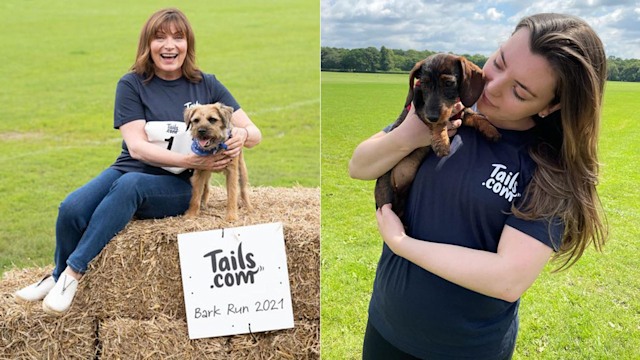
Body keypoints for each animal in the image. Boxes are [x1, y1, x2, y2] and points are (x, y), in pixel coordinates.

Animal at [372, 52, 502, 217]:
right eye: (424, 83)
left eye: (448, 83)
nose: (432, 116)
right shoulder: (421, 109)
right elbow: (440, 124)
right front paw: (442, 143)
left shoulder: (460, 113)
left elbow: (474, 115)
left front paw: (491, 130)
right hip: (386, 194)